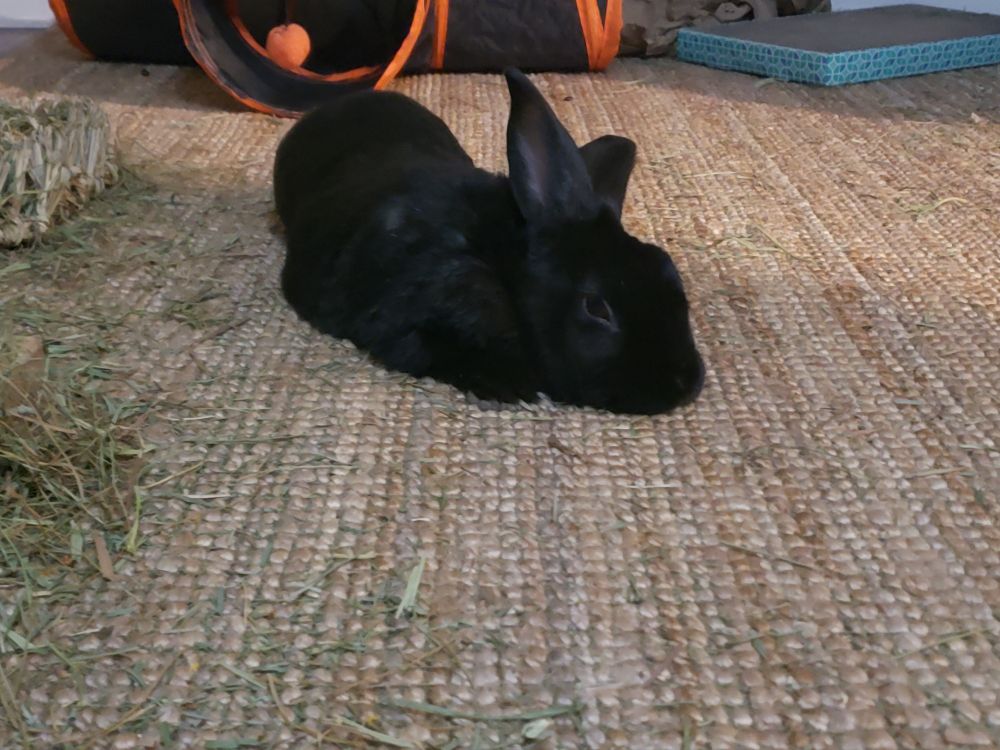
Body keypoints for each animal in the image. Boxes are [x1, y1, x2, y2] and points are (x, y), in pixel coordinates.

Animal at [273, 68, 705, 414]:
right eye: (596, 308)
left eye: (666, 266)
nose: (686, 385)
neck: (504, 270)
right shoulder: (402, 317)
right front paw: (512, 388)